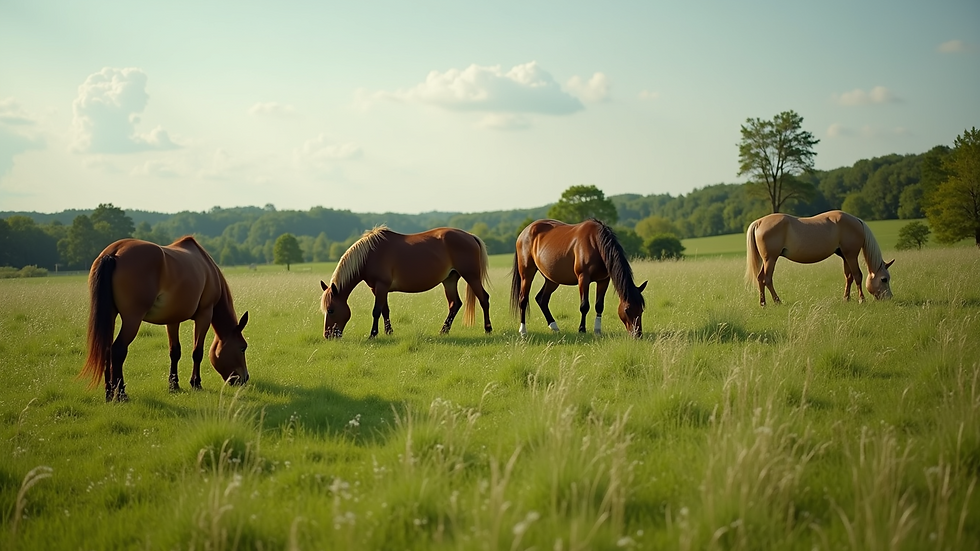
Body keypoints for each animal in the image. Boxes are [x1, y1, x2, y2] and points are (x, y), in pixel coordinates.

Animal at [81, 236, 250, 402]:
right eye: (243, 347)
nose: (245, 378)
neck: (208, 269)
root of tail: (114, 252)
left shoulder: (173, 319)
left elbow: (175, 352)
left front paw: (174, 385)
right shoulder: (204, 315)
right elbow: (197, 352)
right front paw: (196, 383)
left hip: (111, 315)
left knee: (106, 349)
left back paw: (109, 394)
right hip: (132, 319)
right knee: (118, 350)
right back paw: (122, 394)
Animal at [319, 226, 492, 338]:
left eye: (331, 310)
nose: (328, 335)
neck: (369, 255)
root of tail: (470, 236)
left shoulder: (381, 286)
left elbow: (376, 311)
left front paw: (373, 335)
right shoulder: (378, 289)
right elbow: (385, 310)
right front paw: (389, 332)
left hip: (471, 276)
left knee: (484, 298)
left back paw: (488, 329)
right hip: (449, 280)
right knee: (454, 304)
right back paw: (443, 331)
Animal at [510, 218, 647, 337]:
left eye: (641, 310)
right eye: (627, 310)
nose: (637, 335)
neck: (596, 243)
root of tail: (525, 231)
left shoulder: (603, 280)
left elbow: (599, 305)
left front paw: (597, 330)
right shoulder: (583, 278)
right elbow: (584, 306)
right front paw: (582, 329)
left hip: (552, 279)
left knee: (541, 299)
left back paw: (554, 327)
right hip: (526, 274)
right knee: (523, 299)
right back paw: (523, 331)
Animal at [745, 210, 894, 307]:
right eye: (884, 279)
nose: (889, 298)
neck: (853, 225)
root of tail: (759, 222)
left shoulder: (845, 256)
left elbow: (849, 277)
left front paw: (846, 298)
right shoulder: (851, 255)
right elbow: (858, 276)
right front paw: (861, 299)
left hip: (766, 260)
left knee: (760, 278)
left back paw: (763, 303)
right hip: (770, 259)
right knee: (767, 279)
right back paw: (777, 301)